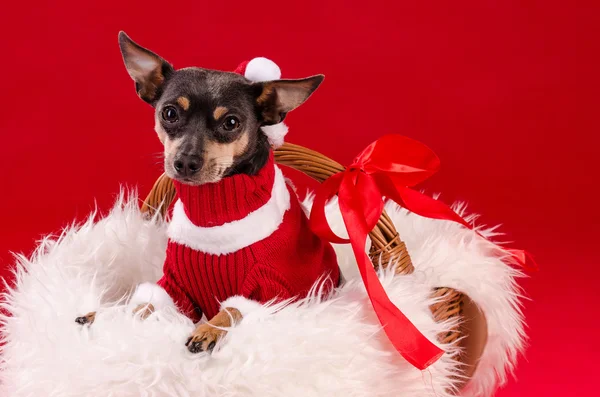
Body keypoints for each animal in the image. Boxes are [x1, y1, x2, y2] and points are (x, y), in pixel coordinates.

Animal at [75, 31, 340, 352]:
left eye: (231, 122)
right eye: (169, 113)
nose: (186, 162)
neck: (213, 216)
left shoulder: (270, 291)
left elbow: (234, 309)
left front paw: (210, 328)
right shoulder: (174, 287)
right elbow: (144, 305)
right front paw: (113, 316)